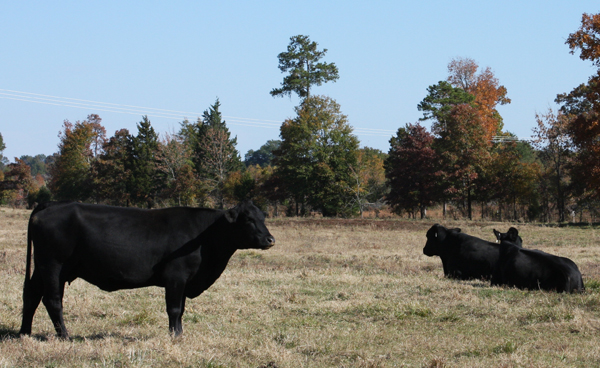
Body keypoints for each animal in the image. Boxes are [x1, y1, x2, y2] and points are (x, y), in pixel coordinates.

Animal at [18, 200, 276, 338]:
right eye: (248, 219)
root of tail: (50, 205)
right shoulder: (176, 277)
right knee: (53, 300)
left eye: (263, 218)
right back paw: (65, 335)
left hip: (44, 268)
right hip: (53, 266)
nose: (270, 239)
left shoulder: (185, 281)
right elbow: (173, 309)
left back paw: (25, 333)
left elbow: (181, 310)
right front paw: (174, 336)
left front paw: (179, 333)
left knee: (31, 295)